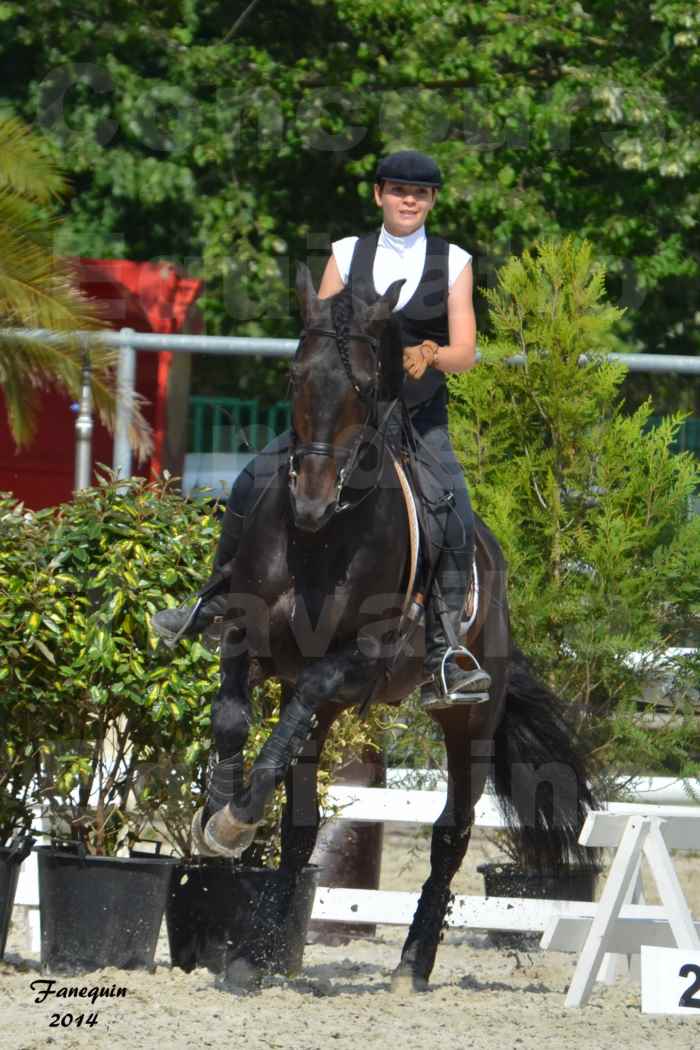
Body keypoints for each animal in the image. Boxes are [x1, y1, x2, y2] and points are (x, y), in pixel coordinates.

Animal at [193, 262, 596, 991]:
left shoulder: (357, 659)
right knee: (301, 822)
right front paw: (217, 813)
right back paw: (249, 959)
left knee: (450, 833)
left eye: (362, 385)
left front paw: (233, 821)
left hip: (470, 721)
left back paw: (413, 962)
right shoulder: (245, 634)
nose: (311, 500)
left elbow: (301, 696)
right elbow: (234, 719)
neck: (321, 540)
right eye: (294, 376)